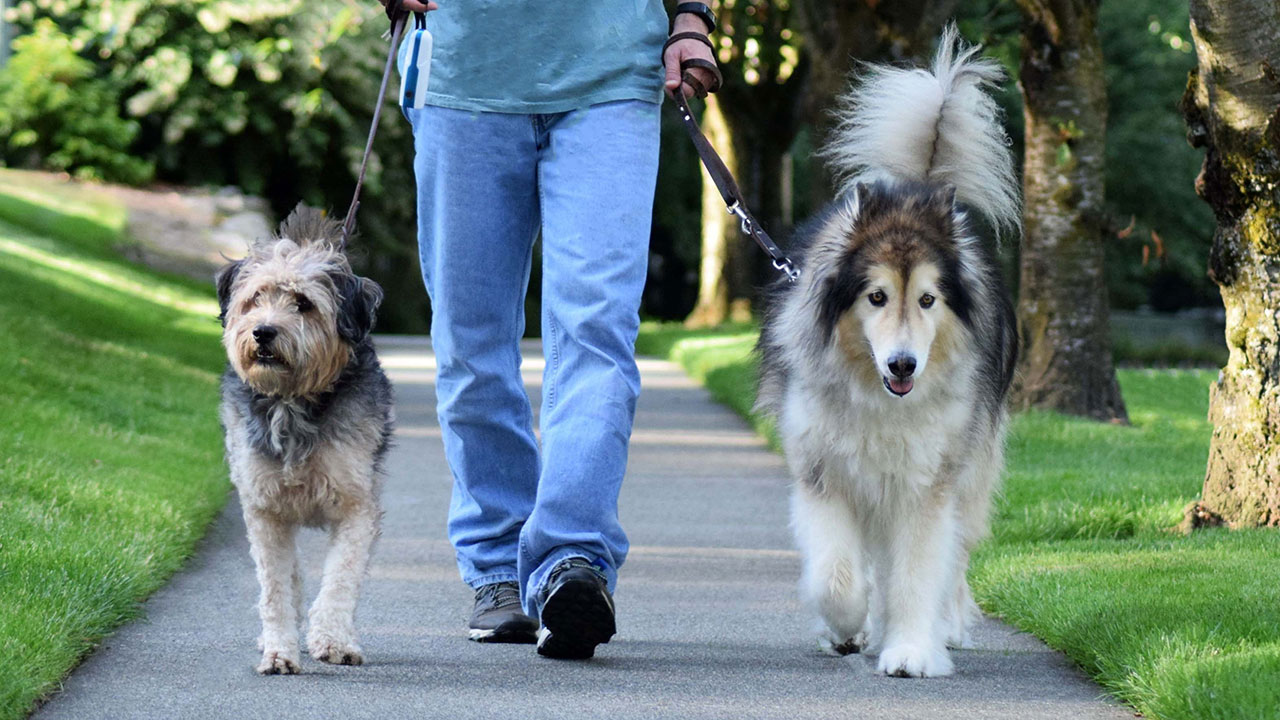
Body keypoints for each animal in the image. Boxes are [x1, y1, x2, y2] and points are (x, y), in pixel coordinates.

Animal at [215, 203, 389, 671]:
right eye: (256, 298)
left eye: (304, 304)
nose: (263, 332)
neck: (291, 400)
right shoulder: (264, 510)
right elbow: (275, 588)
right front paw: (279, 650)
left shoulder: (356, 505)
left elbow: (341, 579)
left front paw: (333, 640)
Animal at [757, 28, 1018, 676]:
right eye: (876, 296)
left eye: (927, 299)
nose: (903, 365)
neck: (880, 397)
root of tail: (919, 184)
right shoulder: (824, 474)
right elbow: (838, 574)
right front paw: (846, 628)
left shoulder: (927, 483)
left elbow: (919, 571)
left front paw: (912, 651)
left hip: (971, 473)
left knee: (956, 557)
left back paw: (946, 627)